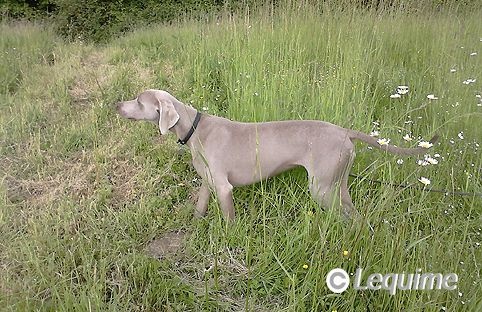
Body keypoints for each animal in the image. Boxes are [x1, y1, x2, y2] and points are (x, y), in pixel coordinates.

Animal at [116, 89, 436, 222]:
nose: (116, 105)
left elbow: (229, 220)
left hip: (321, 188)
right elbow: (200, 206)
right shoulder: (207, 182)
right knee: (354, 214)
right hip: (339, 181)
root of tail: (345, 132)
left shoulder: (224, 187)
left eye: (139, 101)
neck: (195, 129)